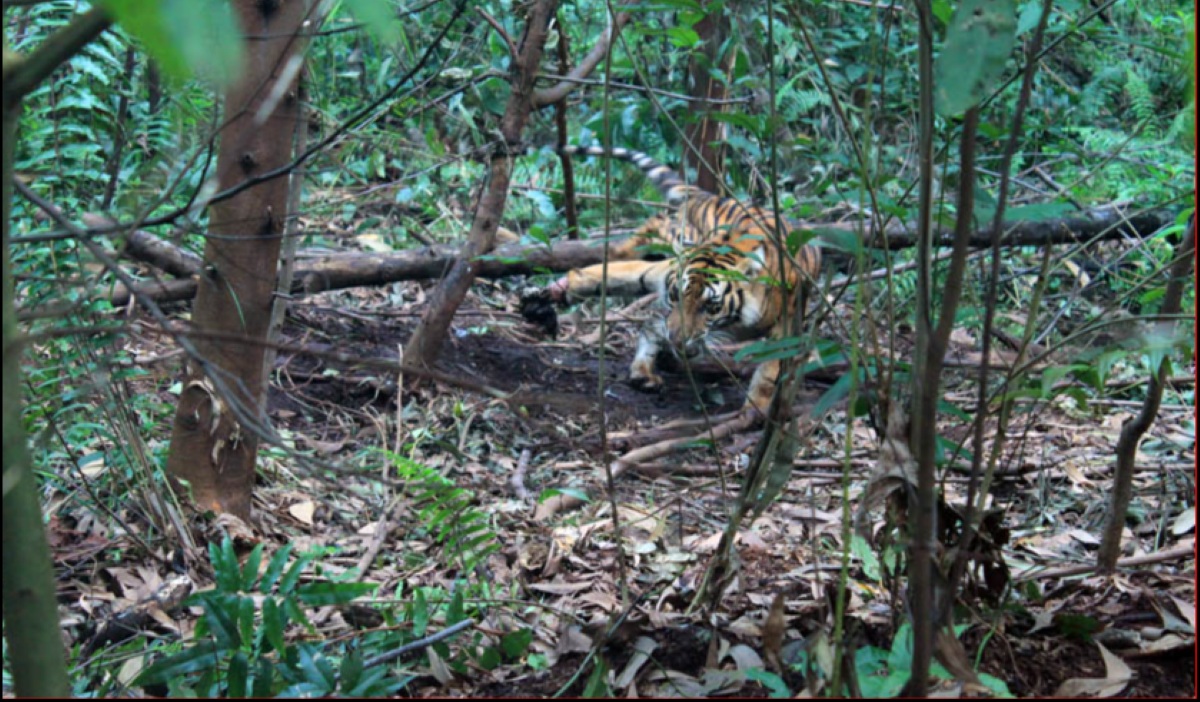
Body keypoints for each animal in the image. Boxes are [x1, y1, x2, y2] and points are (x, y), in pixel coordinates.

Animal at [531, 145, 823, 414]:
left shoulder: (787, 323)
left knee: (650, 320)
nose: (676, 339)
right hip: (672, 240)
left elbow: (770, 370)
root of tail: (709, 196)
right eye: (676, 295)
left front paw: (755, 412)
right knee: (640, 244)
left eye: (711, 306)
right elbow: (620, 273)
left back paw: (643, 372)